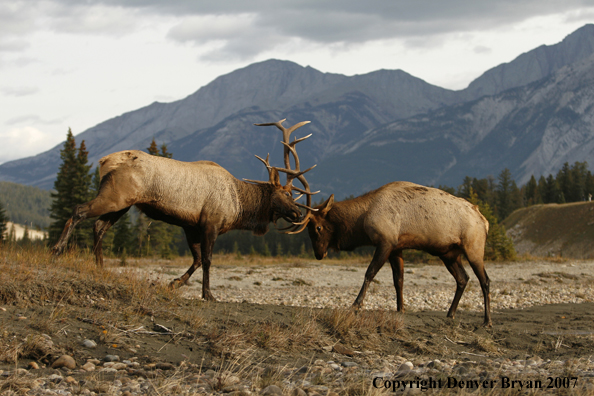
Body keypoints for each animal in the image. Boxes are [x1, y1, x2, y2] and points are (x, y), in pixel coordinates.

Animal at [51, 119, 314, 302]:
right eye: (288, 194)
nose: (298, 214)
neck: (239, 205)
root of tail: (103, 161)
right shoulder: (211, 223)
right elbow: (207, 259)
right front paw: (208, 294)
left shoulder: (190, 226)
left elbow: (196, 259)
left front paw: (173, 283)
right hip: (115, 197)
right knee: (79, 211)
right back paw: (57, 250)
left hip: (122, 204)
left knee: (98, 225)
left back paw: (101, 266)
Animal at [296, 183, 490, 328]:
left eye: (318, 228)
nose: (318, 254)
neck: (361, 220)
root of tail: (484, 220)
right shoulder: (396, 248)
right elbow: (399, 280)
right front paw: (400, 308)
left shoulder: (385, 242)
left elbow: (370, 273)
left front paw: (356, 304)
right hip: (449, 253)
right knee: (463, 278)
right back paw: (450, 313)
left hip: (473, 248)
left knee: (485, 280)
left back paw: (487, 320)